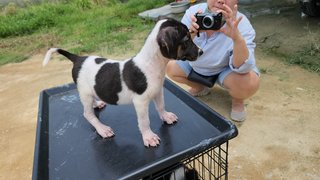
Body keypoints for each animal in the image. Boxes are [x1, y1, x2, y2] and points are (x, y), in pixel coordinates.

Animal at [42, 18, 202, 147]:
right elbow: (144, 122)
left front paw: (166, 116)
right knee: (88, 114)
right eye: (186, 40)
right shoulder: (140, 102)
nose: (201, 52)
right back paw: (102, 129)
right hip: (84, 93)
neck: (152, 63)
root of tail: (78, 59)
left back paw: (97, 104)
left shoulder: (158, 91)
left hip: (90, 91)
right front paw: (148, 137)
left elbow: (161, 106)